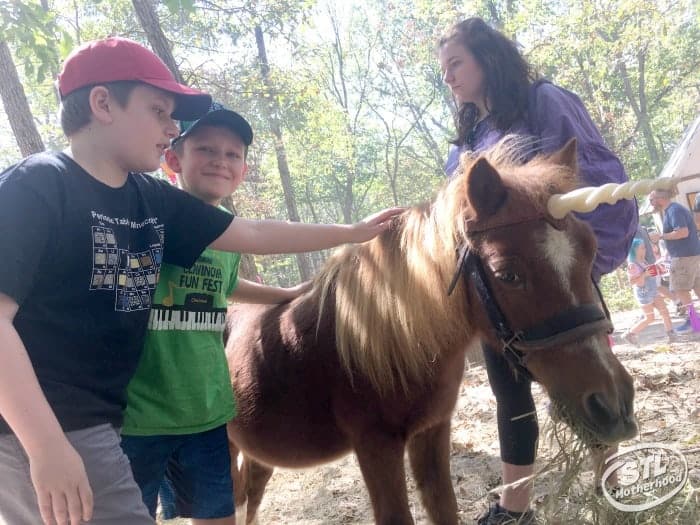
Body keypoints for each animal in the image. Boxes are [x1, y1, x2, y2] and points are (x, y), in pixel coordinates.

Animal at [226, 140, 640, 524]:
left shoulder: (433, 432)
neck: (391, 339)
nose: (613, 404)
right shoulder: (376, 446)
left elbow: (444, 507)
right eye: (508, 274)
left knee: (250, 494)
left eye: (591, 252)